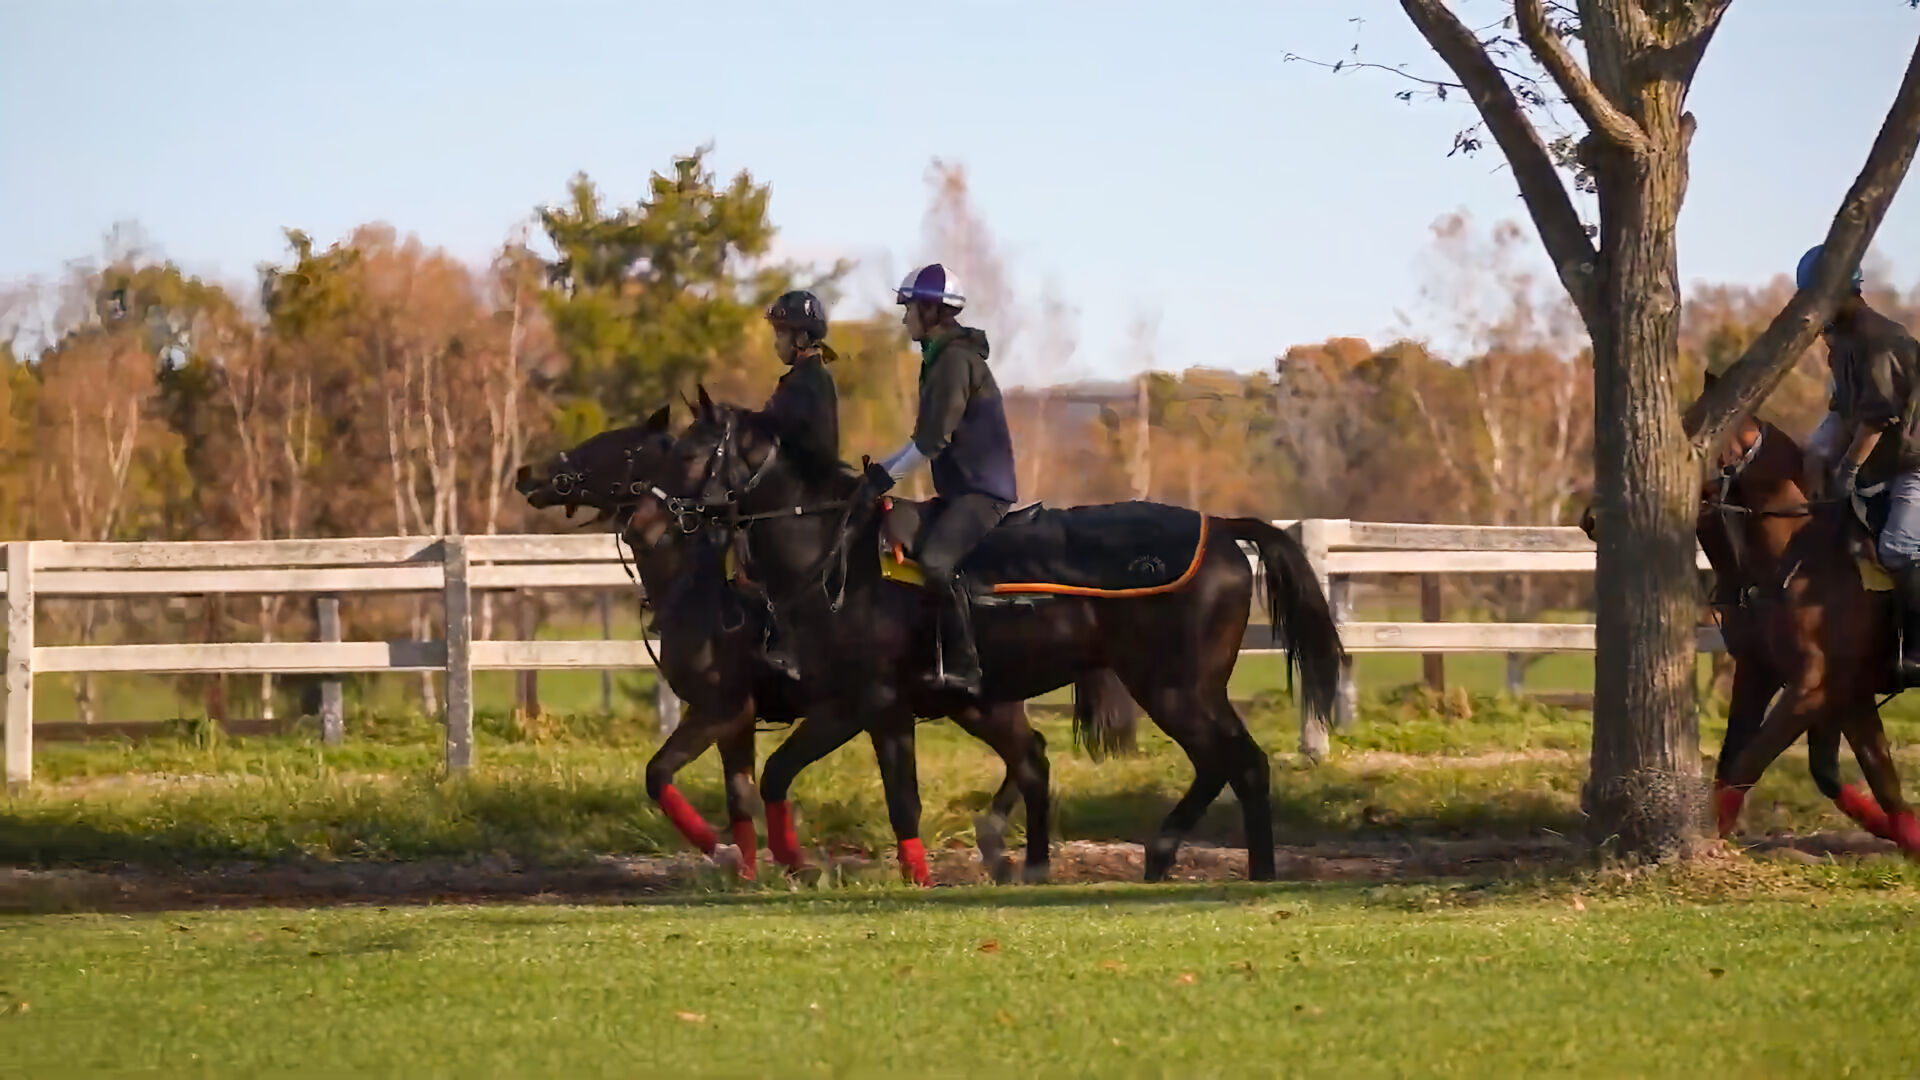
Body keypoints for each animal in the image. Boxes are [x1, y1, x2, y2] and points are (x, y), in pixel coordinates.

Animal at [514, 407, 1136, 880]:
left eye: (617, 449)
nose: (527, 472)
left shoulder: (749, 709)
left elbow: (676, 776)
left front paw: (734, 856)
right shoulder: (737, 719)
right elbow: (740, 791)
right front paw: (752, 867)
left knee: (1029, 759)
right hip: (979, 704)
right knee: (1031, 758)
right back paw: (1008, 852)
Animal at [668, 390, 1344, 880]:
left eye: (696, 452)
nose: (671, 511)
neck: (840, 558)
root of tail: (1222, 527)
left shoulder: (870, 706)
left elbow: (898, 797)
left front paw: (914, 876)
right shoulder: (880, 706)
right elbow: (777, 775)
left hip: (1175, 688)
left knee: (1235, 762)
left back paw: (1225, 865)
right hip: (1156, 691)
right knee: (1219, 763)